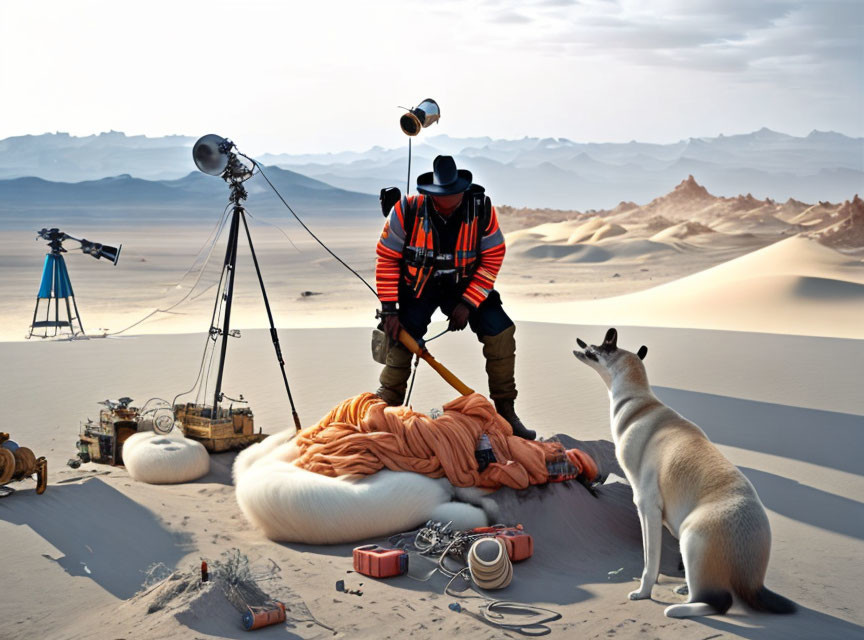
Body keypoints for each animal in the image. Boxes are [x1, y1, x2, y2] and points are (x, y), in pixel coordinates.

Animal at [572, 328, 796, 616]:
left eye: (598, 346)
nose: (581, 343)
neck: (639, 402)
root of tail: (752, 583)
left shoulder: (647, 508)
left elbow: (650, 562)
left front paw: (643, 593)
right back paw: (684, 591)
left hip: (690, 537)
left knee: (719, 602)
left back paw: (678, 609)